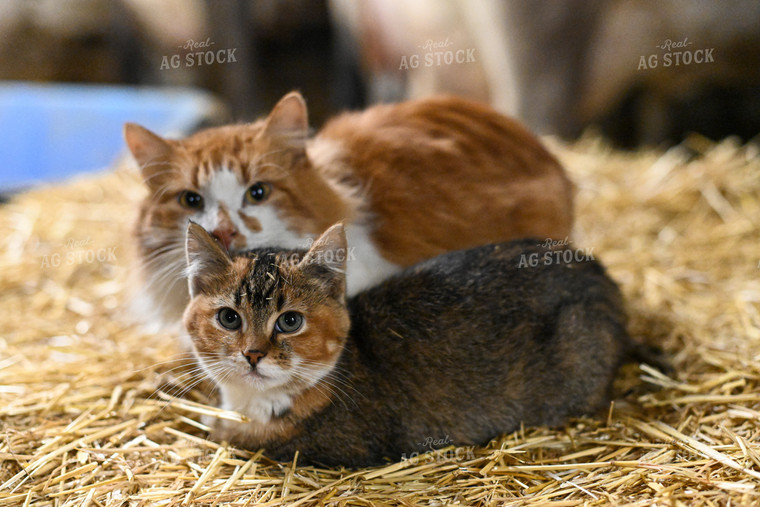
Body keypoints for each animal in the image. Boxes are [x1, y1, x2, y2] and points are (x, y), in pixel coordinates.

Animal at [183, 222, 636, 468]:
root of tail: (602, 276)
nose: (253, 354)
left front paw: (218, 427)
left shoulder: (332, 446)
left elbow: (239, 436)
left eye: (290, 321)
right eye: (229, 318)